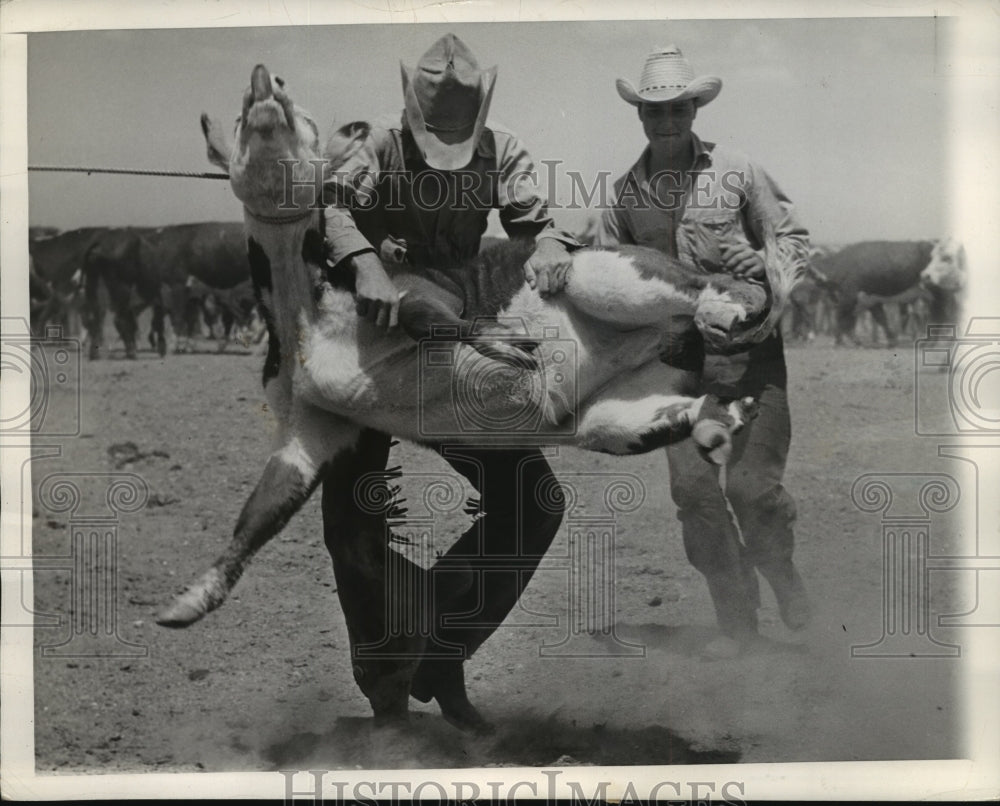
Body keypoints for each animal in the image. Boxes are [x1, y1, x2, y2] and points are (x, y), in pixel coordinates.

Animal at [156, 66, 796, 724]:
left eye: (304, 118)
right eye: (241, 117)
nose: (265, 81)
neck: (308, 313)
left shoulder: (424, 293)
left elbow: (431, 315)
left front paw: (505, 345)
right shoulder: (309, 429)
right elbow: (259, 515)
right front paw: (188, 602)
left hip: (612, 277)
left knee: (712, 287)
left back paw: (724, 310)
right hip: (613, 418)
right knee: (687, 408)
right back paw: (719, 419)